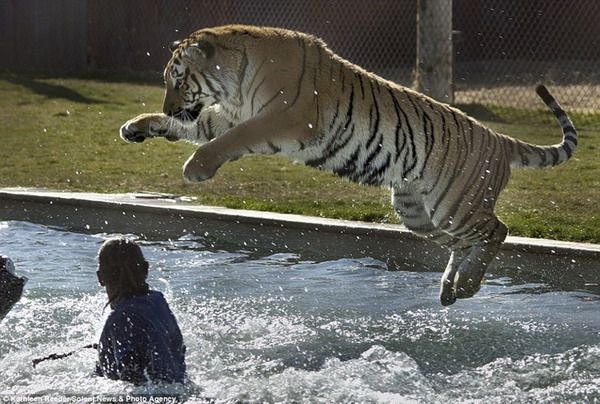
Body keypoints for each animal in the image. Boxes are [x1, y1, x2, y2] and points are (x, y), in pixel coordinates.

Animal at [120, 24, 576, 306]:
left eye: (179, 79)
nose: (170, 105)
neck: (235, 79)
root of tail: (499, 139)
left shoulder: (278, 118)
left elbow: (226, 141)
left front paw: (195, 167)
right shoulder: (227, 115)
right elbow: (196, 127)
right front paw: (136, 126)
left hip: (455, 203)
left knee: (497, 230)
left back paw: (465, 284)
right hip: (420, 213)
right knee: (465, 244)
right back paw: (453, 288)